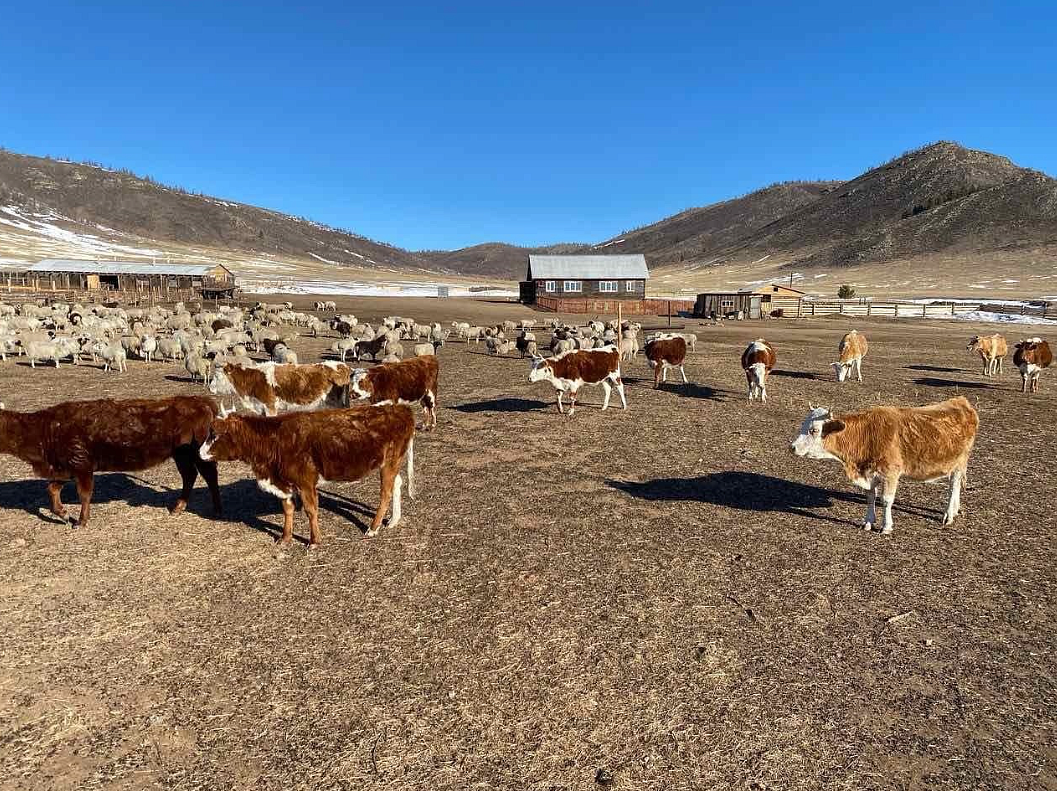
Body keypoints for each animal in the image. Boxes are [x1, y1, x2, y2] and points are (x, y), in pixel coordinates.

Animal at [0, 395, 220, 530]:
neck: (47, 428)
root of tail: (200, 401)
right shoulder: (65, 468)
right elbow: (52, 490)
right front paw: (63, 514)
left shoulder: (82, 466)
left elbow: (84, 494)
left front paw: (81, 521)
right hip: (181, 455)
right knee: (190, 476)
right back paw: (178, 507)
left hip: (196, 453)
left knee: (209, 475)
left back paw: (216, 509)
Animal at [199, 403, 414, 545]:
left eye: (214, 434)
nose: (199, 452)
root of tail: (399, 408)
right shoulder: (284, 484)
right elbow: (287, 510)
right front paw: (285, 538)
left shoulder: (305, 482)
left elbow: (311, 510)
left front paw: (314, 541)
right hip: (391, 463)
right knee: (397, 484)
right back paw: (393, 520)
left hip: (390, 462)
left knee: (385, 492)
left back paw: (373, 528)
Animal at [790, 395, 976, 537]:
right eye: (803, 426)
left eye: (814, 430)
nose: (792, 447)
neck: (867, 435)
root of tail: (961, 401)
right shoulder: (869, 474)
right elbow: (870, 497)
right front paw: (868, 521)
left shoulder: (890, 473)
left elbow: (886, 500)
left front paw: (886, 526)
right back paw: (956, 509)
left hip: (959, 463)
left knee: (953, 486)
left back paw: (949, 514)